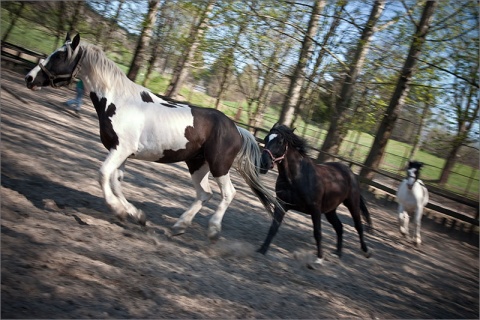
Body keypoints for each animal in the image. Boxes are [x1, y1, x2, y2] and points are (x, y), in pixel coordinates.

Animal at [25, 33, 282, 240]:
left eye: (60, 55)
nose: (29, 78)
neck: (119, 101)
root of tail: (236, 129)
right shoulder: (122, 153)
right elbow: (116, 181)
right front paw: (135, 214)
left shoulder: (120, 150)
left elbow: (103, 174)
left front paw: (117, 209)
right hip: (197, 164)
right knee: (204, 194)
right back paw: (178, 226)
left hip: (219, 166)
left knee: (228, 194)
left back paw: (213, 230)